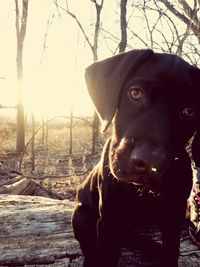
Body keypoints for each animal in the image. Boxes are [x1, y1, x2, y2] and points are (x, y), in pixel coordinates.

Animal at [72, 50, 200, 267]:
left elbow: (171, 252)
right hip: (81, 216)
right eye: (135, 93)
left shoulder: (173, 218)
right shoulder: (109, 222)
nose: (149, 164)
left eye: (189, 111)